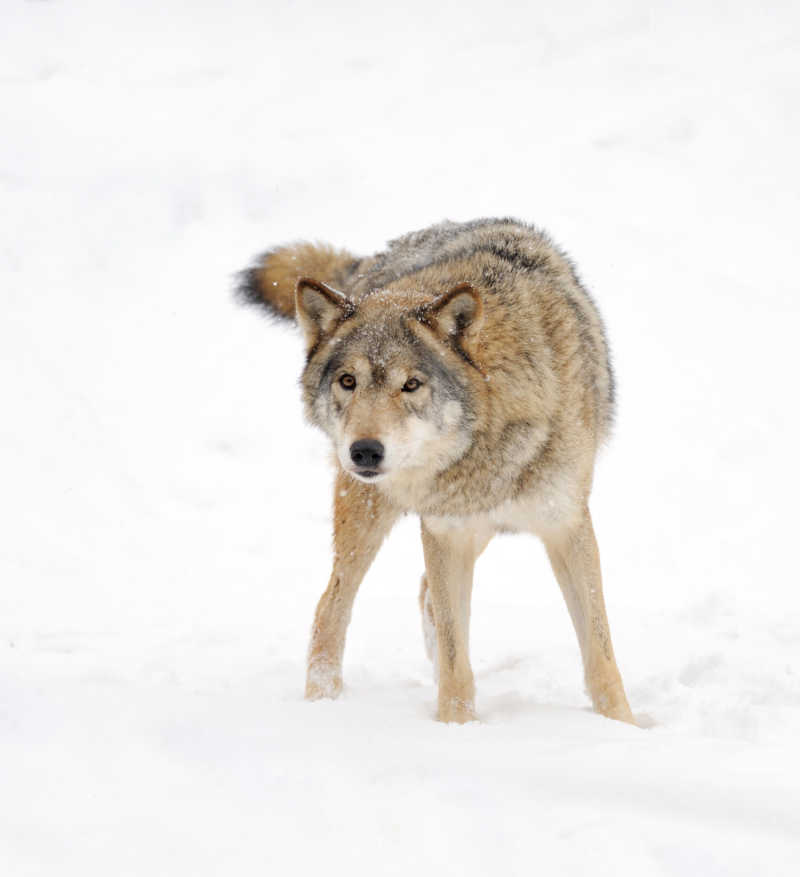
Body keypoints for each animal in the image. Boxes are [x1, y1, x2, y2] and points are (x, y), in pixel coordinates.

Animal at [234, 219, 636, 724]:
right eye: (348, 381)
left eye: (411, 384)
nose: (365, 452)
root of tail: (375, 266)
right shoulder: (446, 533)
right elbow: (455, 659)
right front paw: (456, 728)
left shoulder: (566, 526)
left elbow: (601, 656)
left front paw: (624, 725)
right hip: (368, 511)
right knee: (331, 605)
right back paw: (323, 705)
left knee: (423, 594)